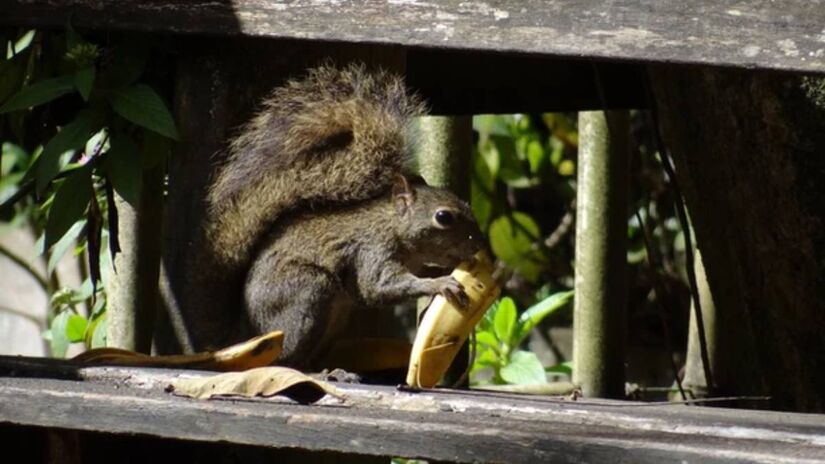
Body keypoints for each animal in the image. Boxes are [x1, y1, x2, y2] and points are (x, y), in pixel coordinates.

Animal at [170, 65, 486, 370]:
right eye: (443, 217)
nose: (479, 245)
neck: (393, 228)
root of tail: (243, 333)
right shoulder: (371, 250)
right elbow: (377, 287)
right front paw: (440, 284)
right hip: (306, 292)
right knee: (284, 357)